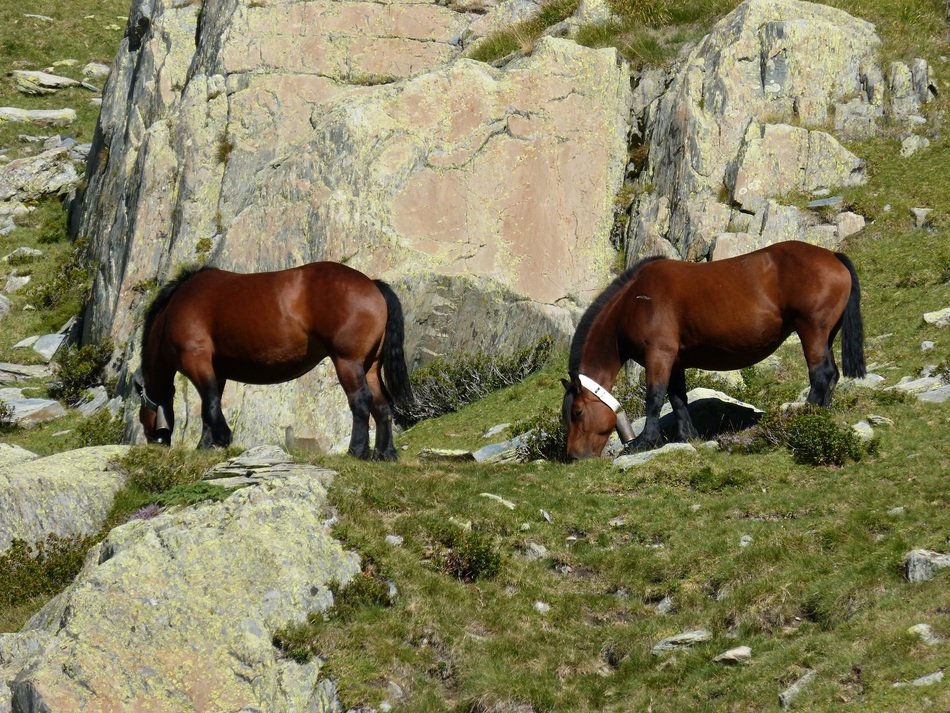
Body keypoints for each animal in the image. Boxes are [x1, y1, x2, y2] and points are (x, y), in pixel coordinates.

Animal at [134, 261, 413, 459]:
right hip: (369, 366)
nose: (154, 441)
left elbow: (210, 403)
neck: (174, 309)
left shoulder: (197, 361)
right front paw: (205, 445)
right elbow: (209, 406)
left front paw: (222, 438)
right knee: (382, 405)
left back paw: (356, 451)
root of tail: (373, 285)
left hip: (348, 361)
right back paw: (384, 453)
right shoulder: (216, 370)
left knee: (361, 401)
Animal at [562, 241, 865, 460]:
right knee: (831, 375)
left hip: (812, 331)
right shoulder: (675, 361)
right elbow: (678, 398)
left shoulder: (659, 355)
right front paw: (688, 436)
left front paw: (645, 441)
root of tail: (833, 256)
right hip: (825, 335)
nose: (574, 457)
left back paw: (804, 417)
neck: (634, 301)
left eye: (577, 412)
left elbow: (655, 398)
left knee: (820, 374)